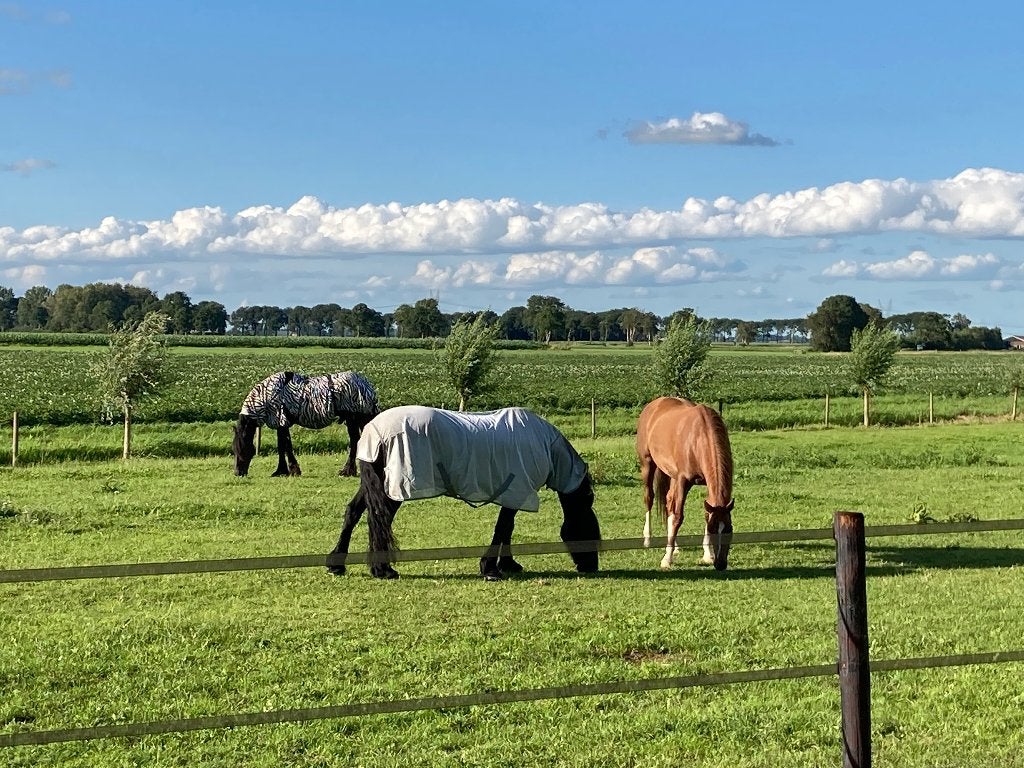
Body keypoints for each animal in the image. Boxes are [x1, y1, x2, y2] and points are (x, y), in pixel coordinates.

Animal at [232, 371, 379, 478]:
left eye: (243, 449)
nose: (238, 473)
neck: (270, 395)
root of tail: (366, 385)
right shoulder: (281, 425)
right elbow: (282, 446)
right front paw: (282, 470)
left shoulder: (282, 421)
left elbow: (285, 446)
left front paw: (291, 470)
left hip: (354, 418)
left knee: (356, 441)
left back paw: (347, 471)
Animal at [325, 405, 601, 580]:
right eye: (589, 528)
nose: (591, 566)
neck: (545, 445)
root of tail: (372, 431)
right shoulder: (516, 491)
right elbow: (503, 528)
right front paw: (490, 568)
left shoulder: (514, 494)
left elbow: (507, 529)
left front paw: (508, 564)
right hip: (394, 489)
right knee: (380, 521)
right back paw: (383, 570)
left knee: (353, 514)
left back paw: (337, 564)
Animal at [635, 396, 735, 571]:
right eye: (713, 529)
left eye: (729, 529)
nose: (721, 564)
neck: (699, 438)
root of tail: (654, 404)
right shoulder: (683, 480)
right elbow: (678, 517)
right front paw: (666, 560)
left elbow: (704, 514)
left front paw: (708, 555)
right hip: (647, 464)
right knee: (649, 498)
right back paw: (648, 539)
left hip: (672, 476)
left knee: (669, 502)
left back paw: (675, 546)